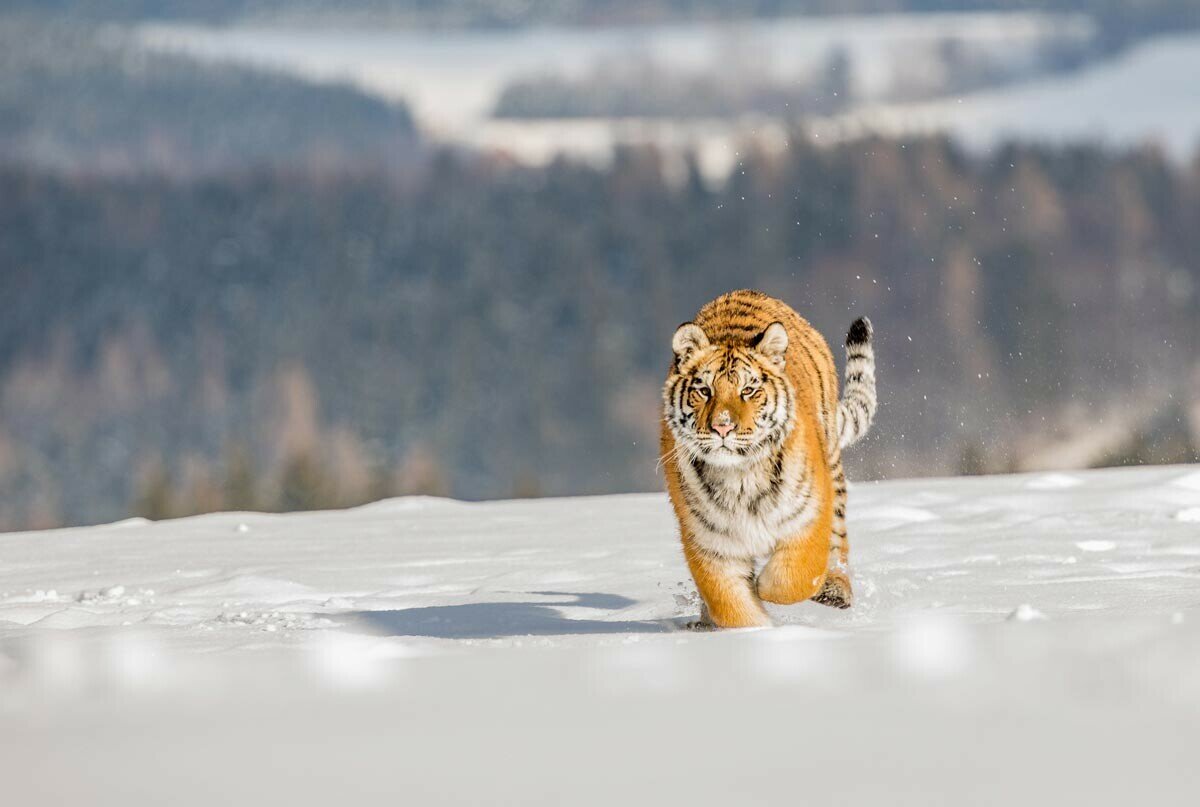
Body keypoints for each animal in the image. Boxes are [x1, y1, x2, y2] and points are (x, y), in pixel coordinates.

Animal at [662, 287, 878, 629]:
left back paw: (835, 589)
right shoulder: (710, 544)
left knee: (839, 539)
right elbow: (734, 607)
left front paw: (763, 587)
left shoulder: (808, 516)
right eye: (705, 391)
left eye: (748, 390)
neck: (739, 477)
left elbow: (793, 579)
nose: (722, 426)